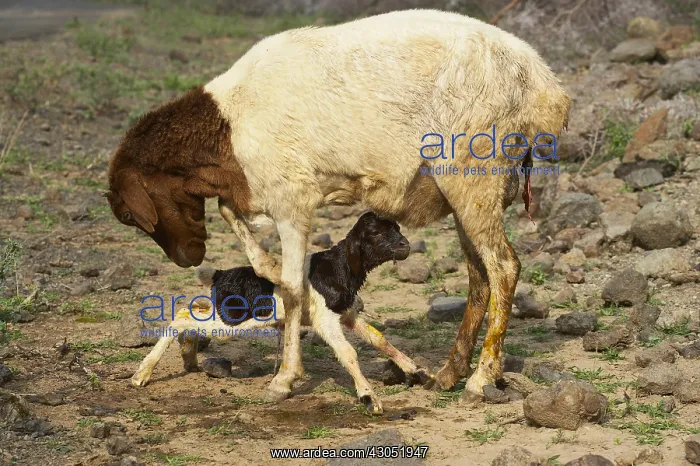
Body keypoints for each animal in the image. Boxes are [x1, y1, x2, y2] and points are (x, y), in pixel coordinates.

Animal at [131, 212, 431, 413]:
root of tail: (219, 273)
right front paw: (369, 398)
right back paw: (141, 374)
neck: (337, 267)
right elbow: (348, 353)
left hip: (223, 311)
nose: (405, 245)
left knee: (189, 310)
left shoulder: (345, 313)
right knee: (182, 318)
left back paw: (188, 357)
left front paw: (418, 371)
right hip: (234, 320)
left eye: (397, 228)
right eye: (376, 233)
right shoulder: (325, 320)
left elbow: (379, 338)